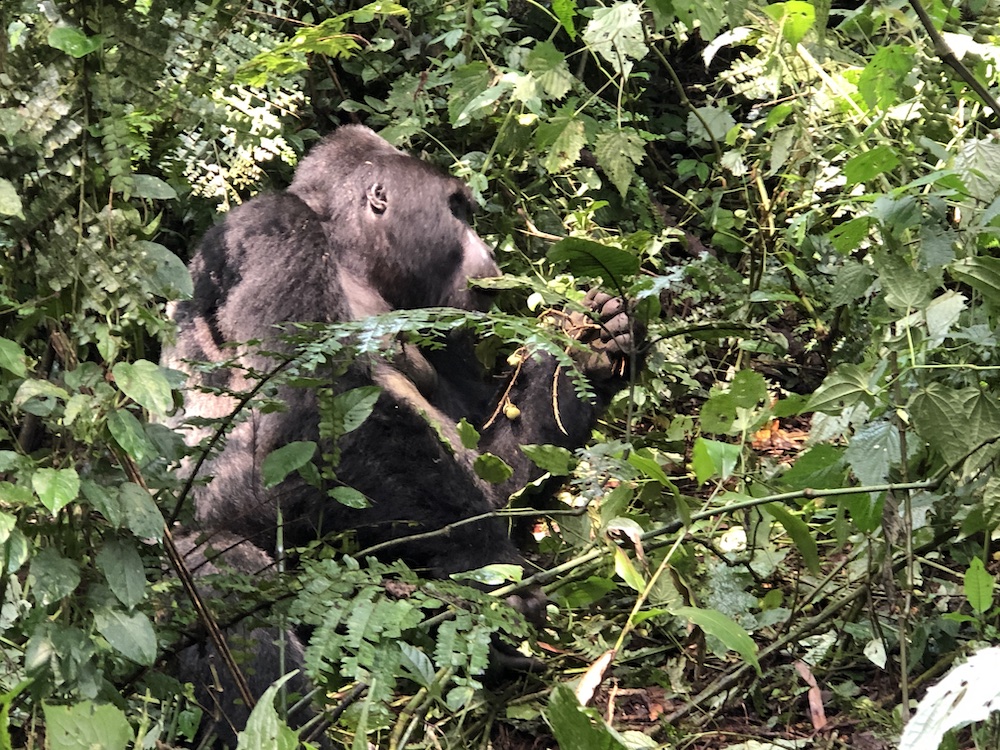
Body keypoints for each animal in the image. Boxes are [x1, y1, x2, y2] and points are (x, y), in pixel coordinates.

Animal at [160, 123, 636, 748]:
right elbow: (303, 414)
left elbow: (495, 467)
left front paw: (592, 353)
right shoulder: (272, 225)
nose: (490, 251)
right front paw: (479, 564)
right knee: (218, 579)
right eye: (457, 209)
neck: (352, 260)